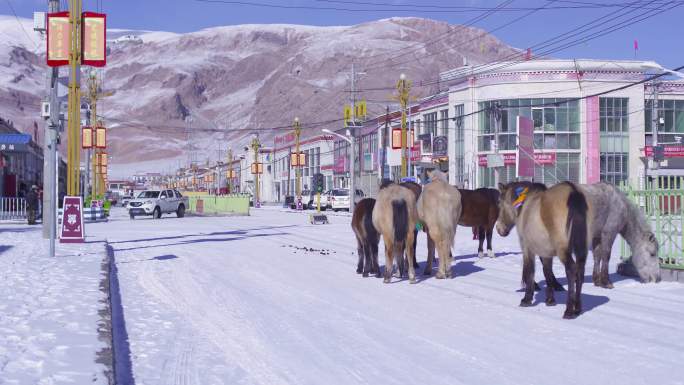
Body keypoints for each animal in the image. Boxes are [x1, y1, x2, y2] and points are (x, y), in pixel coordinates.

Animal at [496, 182, 592, 320]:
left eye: (499, 203)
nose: (499, 229)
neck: (525, 206)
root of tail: (573, 192)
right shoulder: (546, 252)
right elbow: (548, 272)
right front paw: (550, 300)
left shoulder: (527, 248)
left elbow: (530, 271)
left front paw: (527, 299)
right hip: (581, 250)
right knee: (580, 272)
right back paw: (578, 308)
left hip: (563, 251)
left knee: (571, 270)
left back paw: (569, 310)